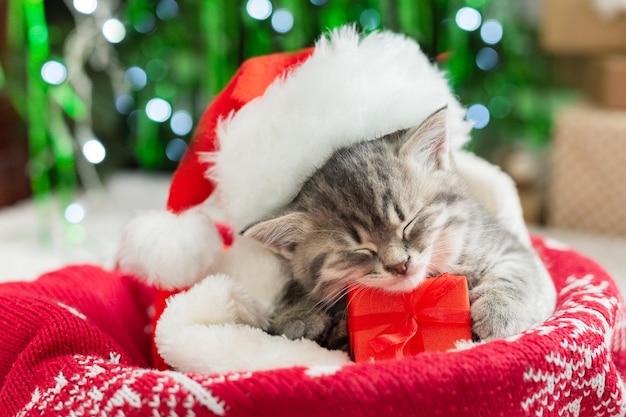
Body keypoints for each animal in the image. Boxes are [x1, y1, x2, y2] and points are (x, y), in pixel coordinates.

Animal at [241, 107, 552, 348]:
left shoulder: (507, 244)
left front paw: (500, 311)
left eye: (409, 223)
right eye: (360, 249)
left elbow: (518, 272)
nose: (400, 265)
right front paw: (299, 316)